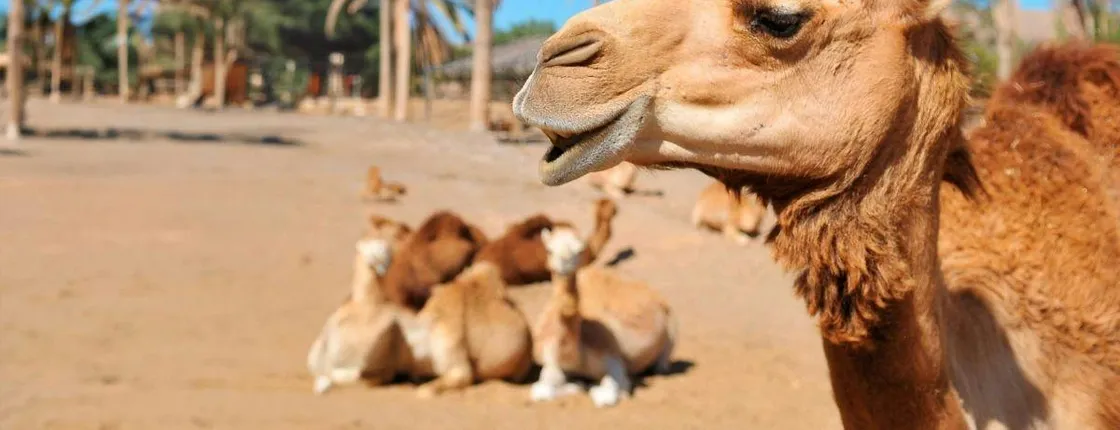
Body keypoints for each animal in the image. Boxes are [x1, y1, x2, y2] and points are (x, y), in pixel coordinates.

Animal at [531, 226, 675, 408]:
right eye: (549, 250)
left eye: (580, 250)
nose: (564, 264)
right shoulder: (551, 362)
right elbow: (540, 391)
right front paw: (578, 384)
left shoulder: (614, 360)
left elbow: (606, 395)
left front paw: (592, 386)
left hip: (671, 329)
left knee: (662, 365)